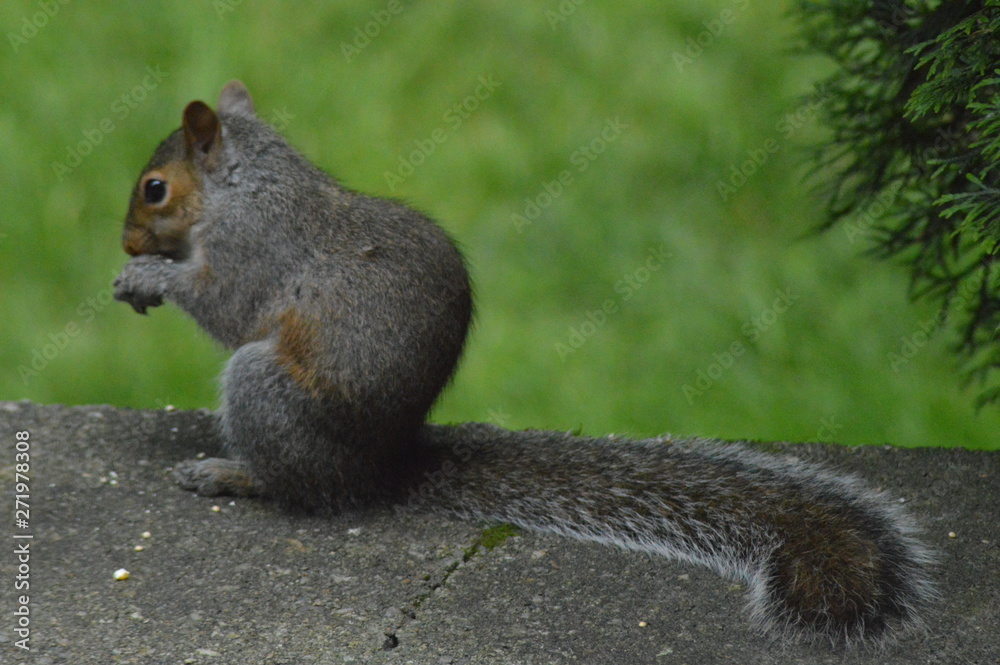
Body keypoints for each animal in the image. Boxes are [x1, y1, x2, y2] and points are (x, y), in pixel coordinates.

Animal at [113, 80, 935, 648]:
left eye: (155, 189)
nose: (125, 242)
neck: (248, 186)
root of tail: (388, 465)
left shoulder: (254, 250)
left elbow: (224, 305)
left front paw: (152, 278)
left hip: (267, 391)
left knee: (306, 490)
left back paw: (232, 473)